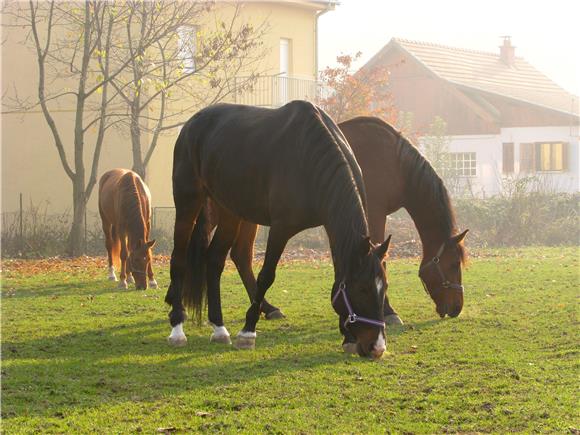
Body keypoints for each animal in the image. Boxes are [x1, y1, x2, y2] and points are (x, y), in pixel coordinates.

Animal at [164, 103, 390, 362]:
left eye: (385, 287)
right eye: (362, 289)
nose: (377, 347)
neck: (309, 158)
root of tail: (191, 124)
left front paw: (348, 338)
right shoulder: (281, 228)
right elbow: (266, 276)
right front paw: (248, 332)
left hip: (230, 210)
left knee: (214, 261)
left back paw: (219, 328)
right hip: (188, 202)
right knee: (179, 259)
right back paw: (177, 328)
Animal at [204, 116, 466, 328]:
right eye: (454, 265)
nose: (457, 308)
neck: (394, 163)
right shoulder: (375, 214)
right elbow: (381, 259)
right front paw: (389, 311)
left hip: (245, 217)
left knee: (240, 257)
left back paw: (266, 309)